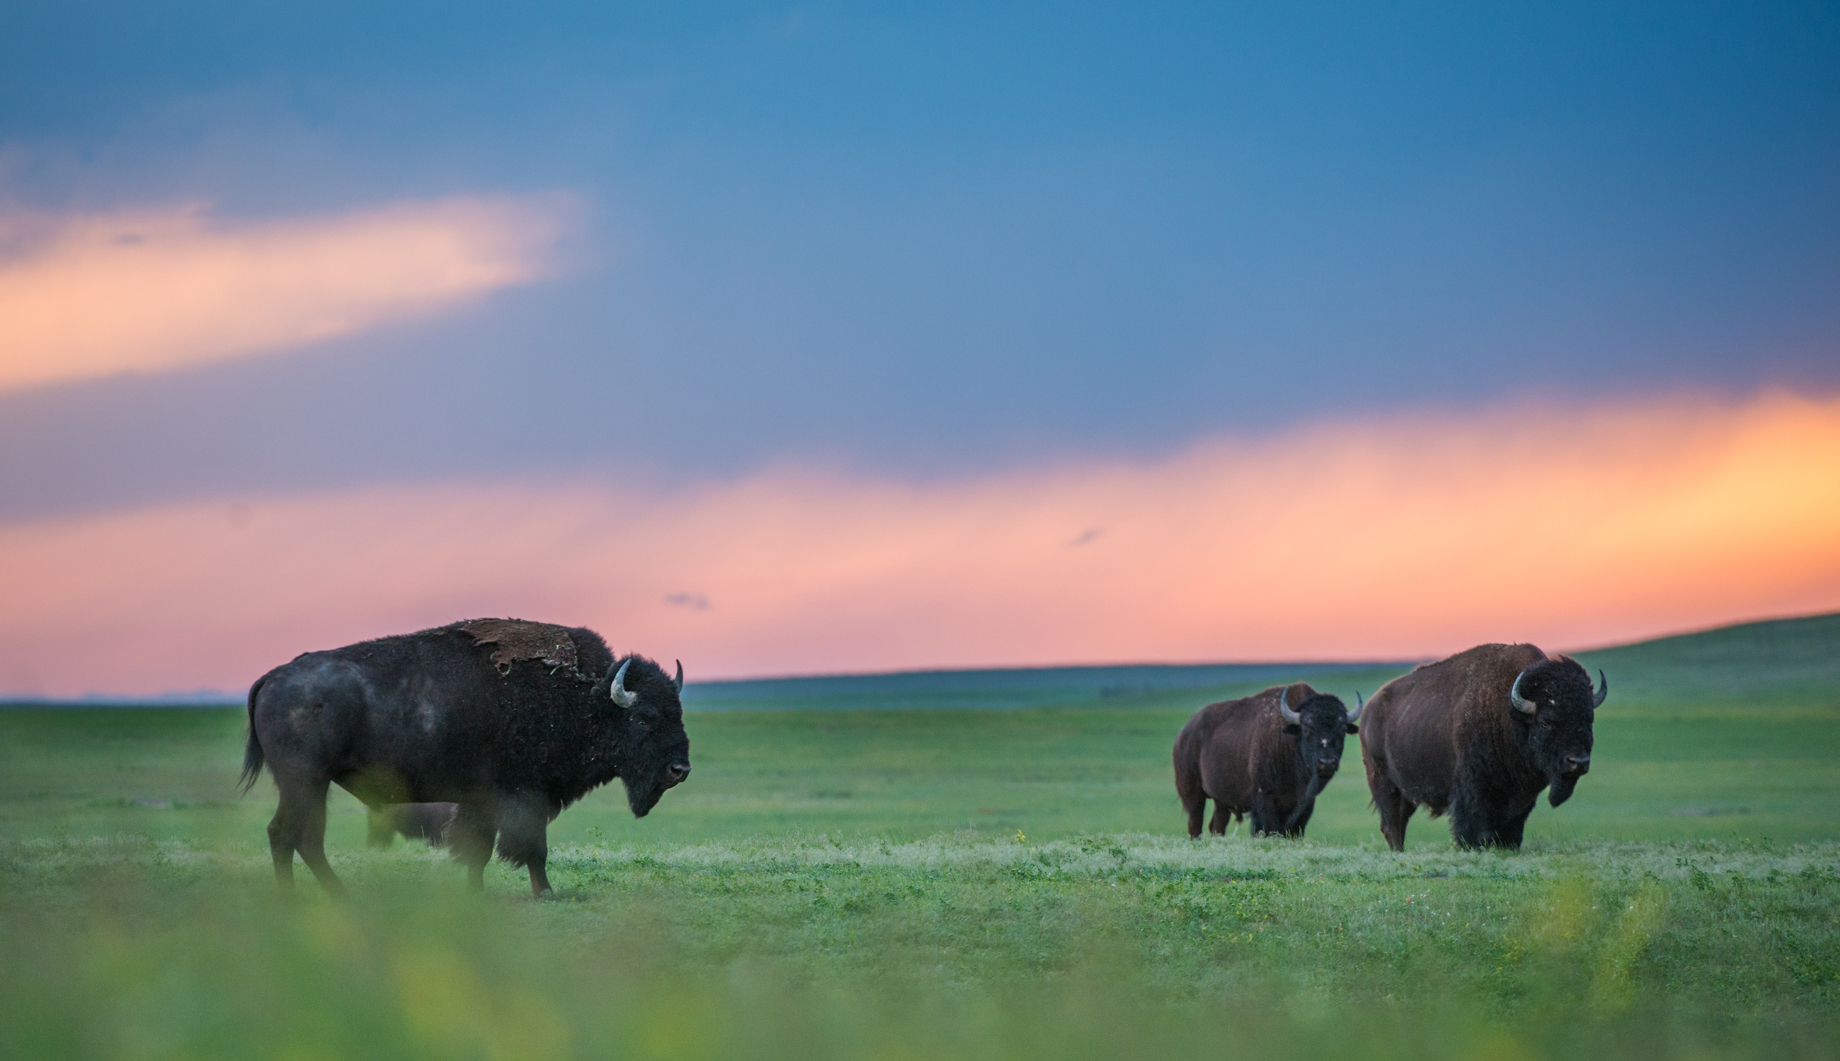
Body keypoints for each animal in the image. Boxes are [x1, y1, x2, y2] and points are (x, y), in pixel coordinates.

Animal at [241, 617, 691, 897]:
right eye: (644, 718)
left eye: (678, 712)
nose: (680, 769)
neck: (588, 699)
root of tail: (271, 679)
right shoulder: (525, 796)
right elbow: (531, 849)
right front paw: (546, 892)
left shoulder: (482, 801)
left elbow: (481, 848)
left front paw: (475, 891)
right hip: (306, 783)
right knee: (297, 835)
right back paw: (329, 895)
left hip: (304, 786)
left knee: (287, 835)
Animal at [1170, 684, 1361, 838]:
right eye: (1307, 727)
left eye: (1342, 729)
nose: (1327, 762)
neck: (1290, 740)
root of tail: (1182, 735)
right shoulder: (1265, 800)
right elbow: (1269, 829)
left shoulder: (1305, 805)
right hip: (1194, 794)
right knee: (1195, 824)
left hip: (1221, 801)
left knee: (1216, 826)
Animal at [1361, 639, 1604, 849]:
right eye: (1546, 721)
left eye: (1589, 719)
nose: (1578, 762)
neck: (1510, 713)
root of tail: (1367, 713)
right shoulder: (1473, 789)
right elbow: (1473, 826)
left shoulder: (1522, 796)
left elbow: (1513, 827)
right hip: (1385, 784)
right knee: (1392, 824)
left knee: (1399, 822)